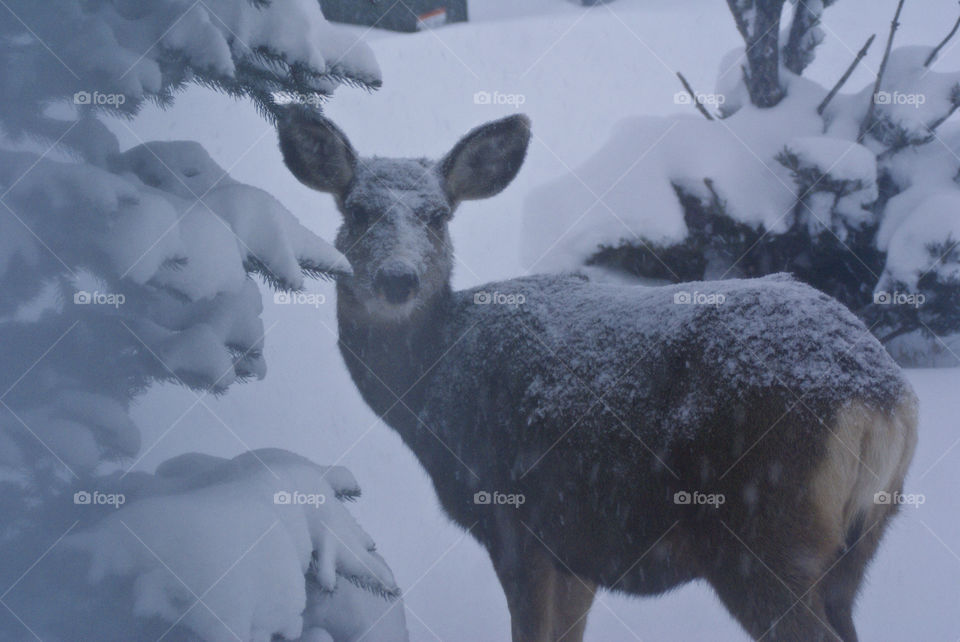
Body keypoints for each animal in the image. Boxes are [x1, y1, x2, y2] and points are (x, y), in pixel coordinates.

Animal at [278, 108, 918, 642]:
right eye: (356, 210)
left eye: (436, 216)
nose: (397, 279)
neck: (435, 394)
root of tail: (880, 398)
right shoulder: (576, 547)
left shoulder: (518, 523)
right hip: (856, 550)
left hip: (761, 533)